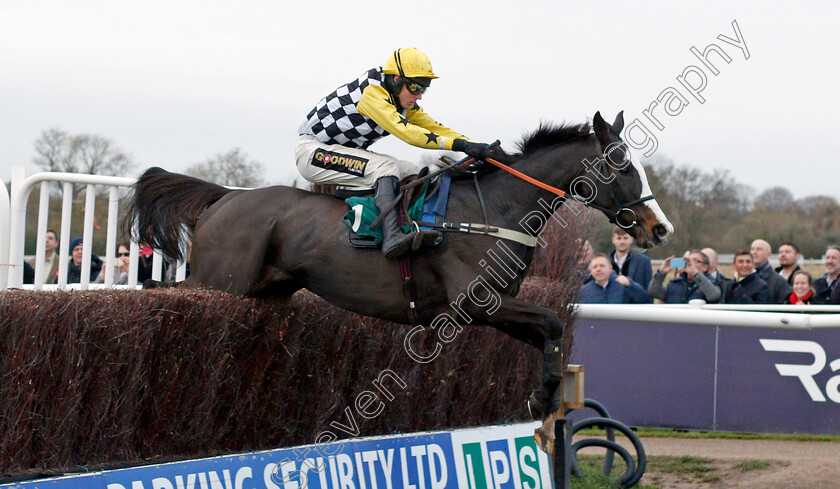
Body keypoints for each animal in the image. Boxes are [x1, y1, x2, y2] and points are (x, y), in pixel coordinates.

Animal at [126, 108, 676, 426]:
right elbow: (553, 322)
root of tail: (223, 197)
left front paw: (543, 399)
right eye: (625, 166)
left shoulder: (492, 308)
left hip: (263, 291)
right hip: (221, 280)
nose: (659, 229)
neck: (493, 210)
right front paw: (541, 400)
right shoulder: (477, 303)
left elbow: (552, 330)